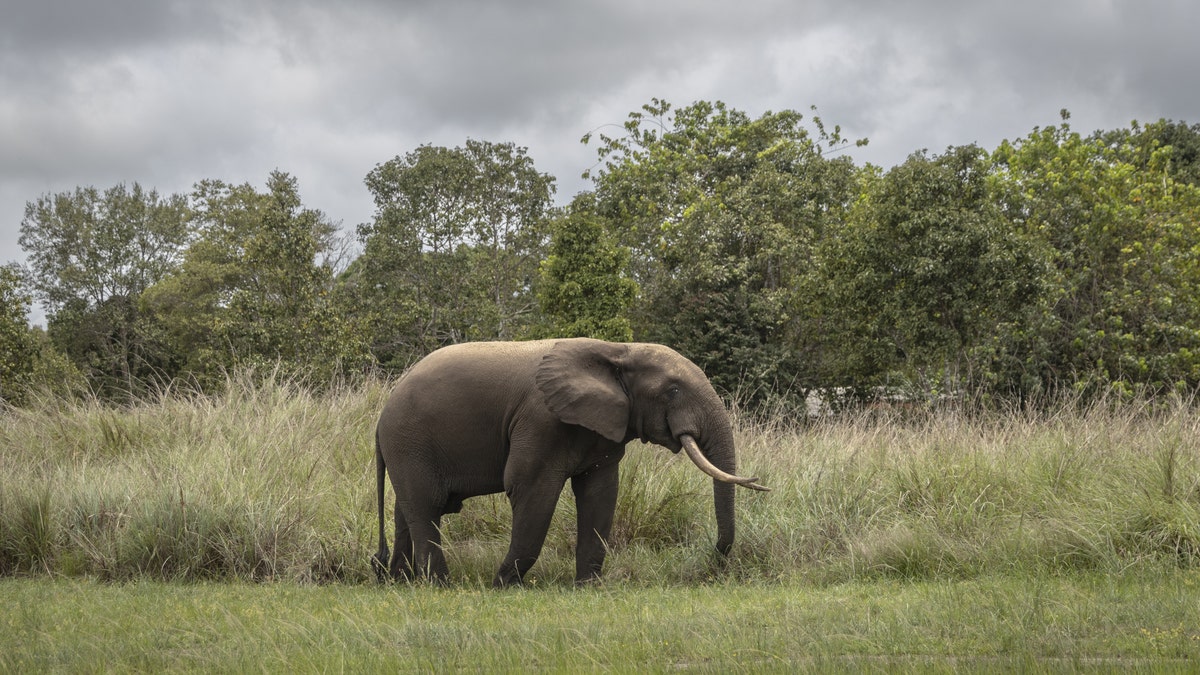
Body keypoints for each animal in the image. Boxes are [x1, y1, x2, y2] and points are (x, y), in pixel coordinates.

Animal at [370, 337, 768, 587]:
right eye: (673, 391)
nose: (714, 560)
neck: (617, 351)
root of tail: (381, 416)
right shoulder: (540, 420)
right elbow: (531, 490)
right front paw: (503, 585)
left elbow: (600, 494)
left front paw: (588, 587)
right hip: (409, 443)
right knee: (426, 507)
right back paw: (440, 585)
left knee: (406, 511)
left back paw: (401, 583)